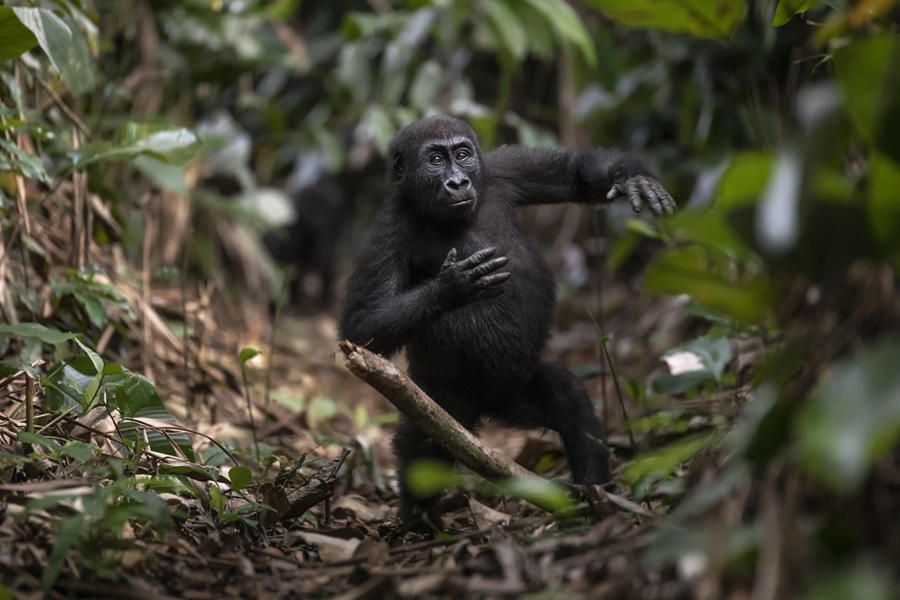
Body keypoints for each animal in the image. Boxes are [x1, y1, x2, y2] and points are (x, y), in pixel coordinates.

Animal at [340, 116, 676, 528]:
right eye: (435, 159)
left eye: (462, 154)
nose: (457, 182)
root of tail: (486, 409)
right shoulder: (386, 233)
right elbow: (362, 325)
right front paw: (452, 287)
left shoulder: (501, 169)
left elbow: (573, 175)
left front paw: (632, 178)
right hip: (441, 401)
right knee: (425, 445)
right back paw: (422, 521)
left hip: (516, 394)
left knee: (567, 397)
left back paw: (595, 495)